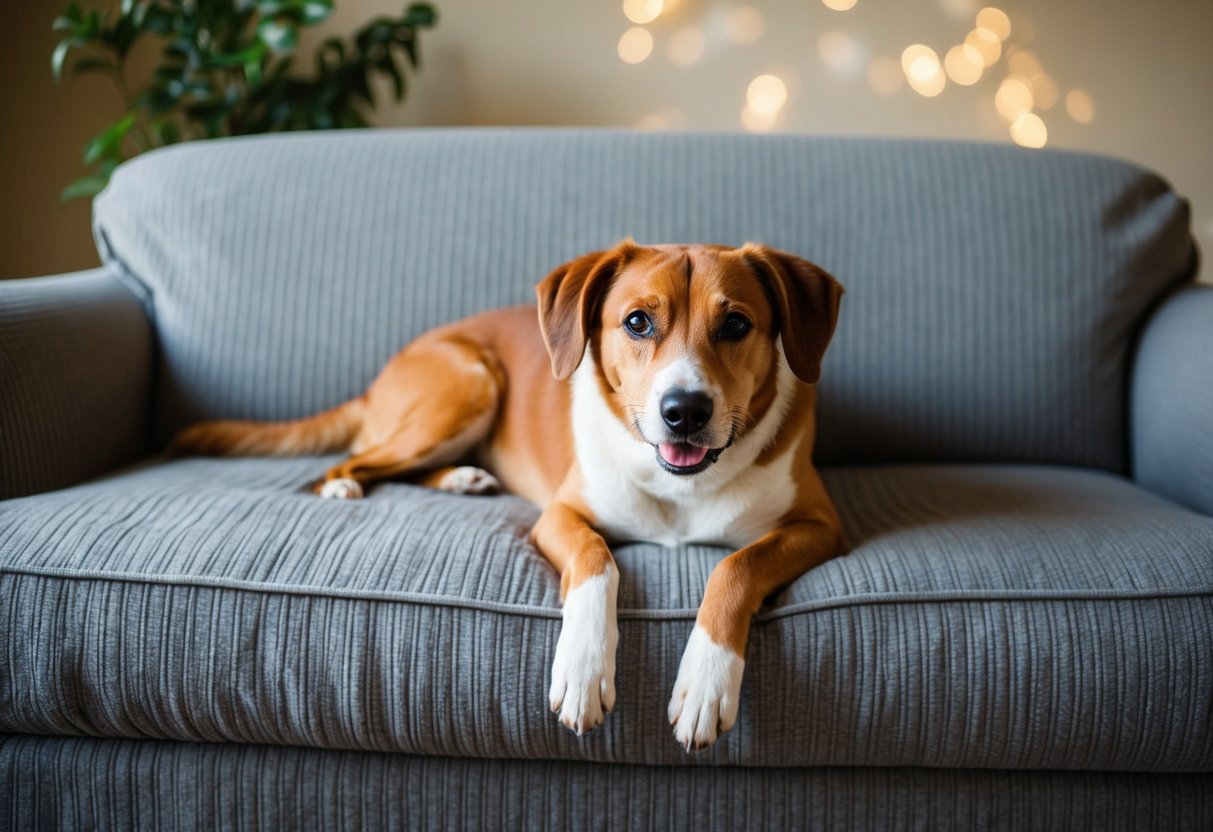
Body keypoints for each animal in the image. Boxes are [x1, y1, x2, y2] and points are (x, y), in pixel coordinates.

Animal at [173, 242, 844, 756]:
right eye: (637, 322)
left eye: (735, 325)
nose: (684, 411)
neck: (683, 485)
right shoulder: (560, 516)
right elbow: (598, 562)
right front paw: (583, 669)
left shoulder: (819, 525)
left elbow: (736, 565)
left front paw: (706, 682)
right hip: (469, 383)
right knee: (356, 459)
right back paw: (348, 483)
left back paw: (462, 479)